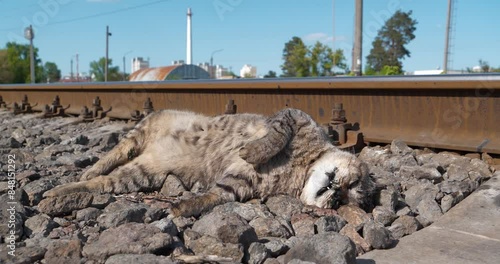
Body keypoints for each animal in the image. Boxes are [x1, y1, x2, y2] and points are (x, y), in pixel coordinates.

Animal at [44, 108, 376, 217]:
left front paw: (184, 207)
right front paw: (254, 152)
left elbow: (215, 196)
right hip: (139, 132)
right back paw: (80, 175)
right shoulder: (292, 117)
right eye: (353, 184)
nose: (335, 191)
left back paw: (58, 193)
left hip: (140, 174)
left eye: (343, 201)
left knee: (102, 183)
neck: (302, 169)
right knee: (109, 158)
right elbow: (275, 137)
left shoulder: (241, 185)